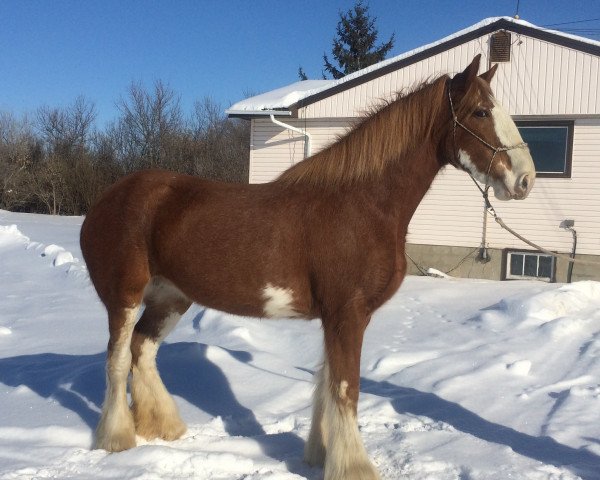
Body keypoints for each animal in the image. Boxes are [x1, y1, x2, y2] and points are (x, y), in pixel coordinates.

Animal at [79, 56, 536, 480]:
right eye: (480, 112)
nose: (525, 180)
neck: (362, 205)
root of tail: (106, 199)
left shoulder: (337, 316)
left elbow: (326, 384)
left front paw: (320, 455)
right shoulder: (348, 314)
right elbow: (346, 387)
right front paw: (353, 467)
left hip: (171, 297)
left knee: (143, 349)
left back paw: (163, 427)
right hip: (125, 296)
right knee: (117, 359)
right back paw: (117, 438)